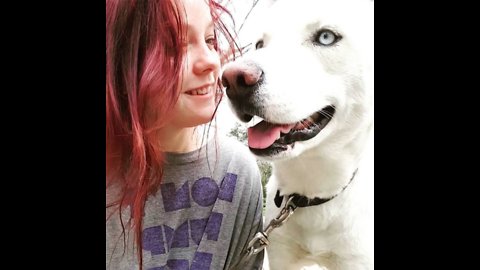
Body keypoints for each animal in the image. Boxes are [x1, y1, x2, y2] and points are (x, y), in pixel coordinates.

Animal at [222, 1, 376, 268]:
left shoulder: (355, 260)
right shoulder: (281, 254)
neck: (310, 193)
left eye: (326, 37)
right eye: (260, 45)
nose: (233, 78)